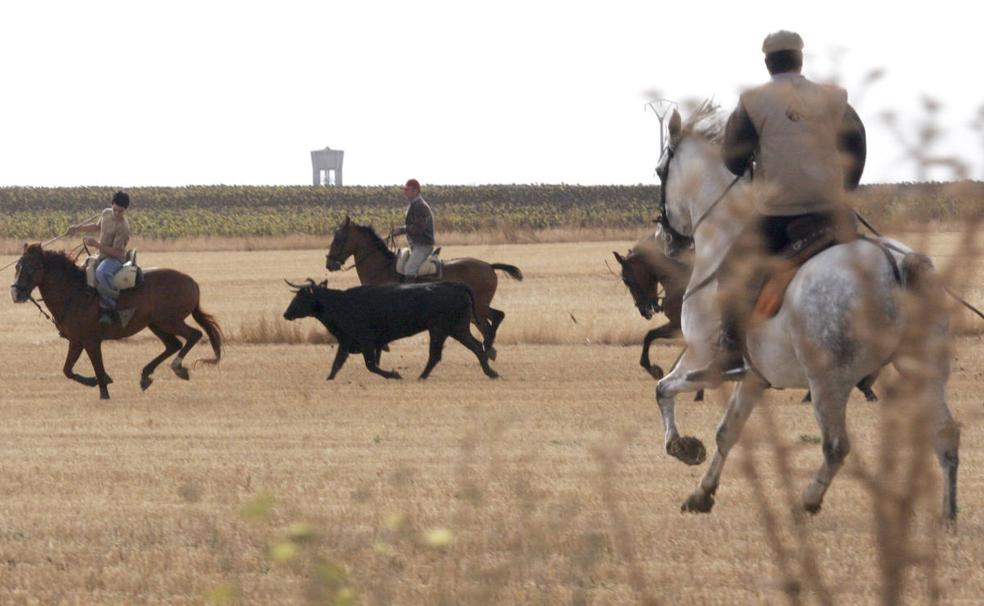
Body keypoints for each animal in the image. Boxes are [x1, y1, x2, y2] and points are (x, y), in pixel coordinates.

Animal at [10, 245, 221, 402]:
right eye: (17, 267)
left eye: (31, 267)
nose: (15, 293)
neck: (73, 292)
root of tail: (192, 282)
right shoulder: (76, 341)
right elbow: (67, 370)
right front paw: (95, 381)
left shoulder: (91, 341)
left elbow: (97, 366)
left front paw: (103, 389)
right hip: (156, 324)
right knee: (173, 344)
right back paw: (146, 375)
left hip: (170, 321)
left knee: (194, 335)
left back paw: (177, 367)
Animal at [322, 217, 524, 360]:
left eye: (338, 238)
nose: (329, 263)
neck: (382, 267)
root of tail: (489, 266)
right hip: (477, 309)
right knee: (488, 324)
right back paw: (489, 349)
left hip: (480, 306)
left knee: (495, 319)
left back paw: (487, 347)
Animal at [648, 105, 956, 524]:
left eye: (659, 170)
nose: (665, 238)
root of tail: (895, 263)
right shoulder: (754, 377)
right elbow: (727, 432)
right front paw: (701, 494)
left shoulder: (700, 360)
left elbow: (663, 389)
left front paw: (683, 448)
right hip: (922, 370)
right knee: (945, 435)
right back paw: (948, 516)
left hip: (828, 382)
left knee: (836, 446)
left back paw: (806, 503)